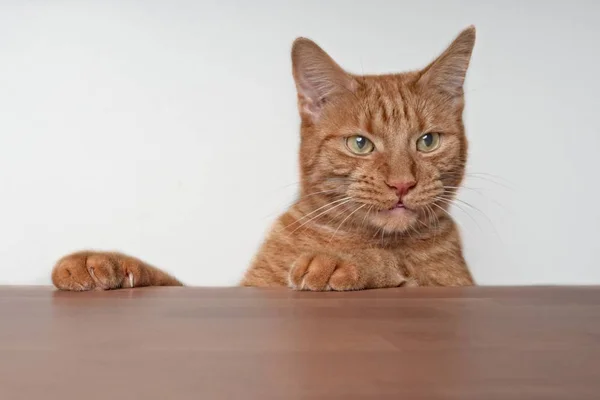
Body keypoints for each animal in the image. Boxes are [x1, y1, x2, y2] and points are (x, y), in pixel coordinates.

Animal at [51, 26, 476, 292]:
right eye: (360, 144)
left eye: (427, 141)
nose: (402, 183)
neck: (349, 235)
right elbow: (163, 277)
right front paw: (100, 261)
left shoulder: (456, 285)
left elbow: (407, 274)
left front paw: (345, 262)